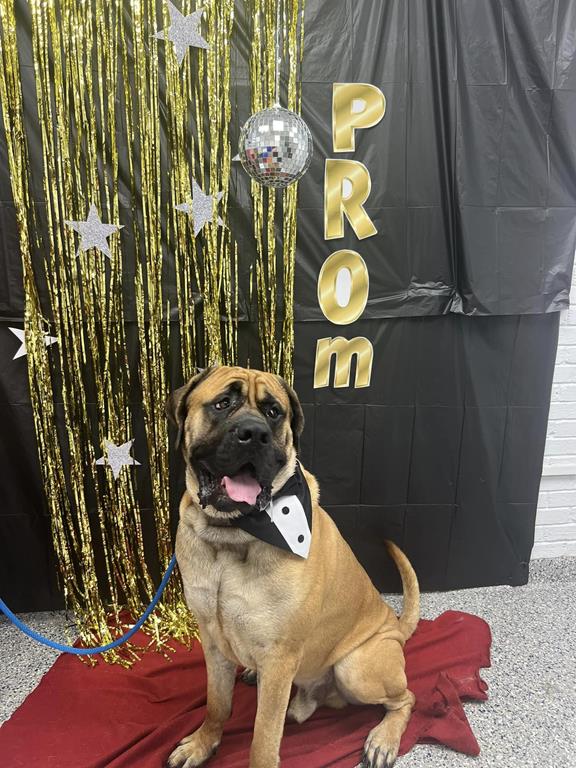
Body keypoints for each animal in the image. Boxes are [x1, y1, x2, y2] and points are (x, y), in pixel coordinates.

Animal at [165, 365, 419, 768]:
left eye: (274, 412)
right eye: (222, 403)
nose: (255, 434)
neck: (232, 535)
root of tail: (395, 628)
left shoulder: (280, 657)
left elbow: (263, 739)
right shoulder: (212, 639)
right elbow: (217, 704)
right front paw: (203, 743)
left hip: (356, 666)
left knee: (406, 698)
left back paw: (384, 739)